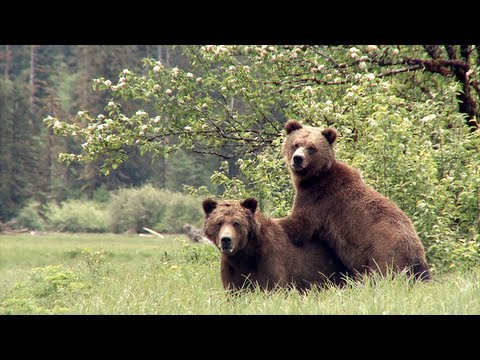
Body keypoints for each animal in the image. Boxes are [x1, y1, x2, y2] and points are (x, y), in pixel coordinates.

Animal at [201, 197, 346, 292]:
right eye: (219, 222)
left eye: (237, 223)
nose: (226, 239)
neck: (246, 255)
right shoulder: (231, 267)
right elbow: (234, 290)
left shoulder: (270, 259)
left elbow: (272, 287)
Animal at [278, 119, 432, 282]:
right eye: (295, 144)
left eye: (311, 147)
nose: (298, 158)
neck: (314, 178)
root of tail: (418, 258)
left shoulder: (319, 200)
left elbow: (298, 227)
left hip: (385, 252)